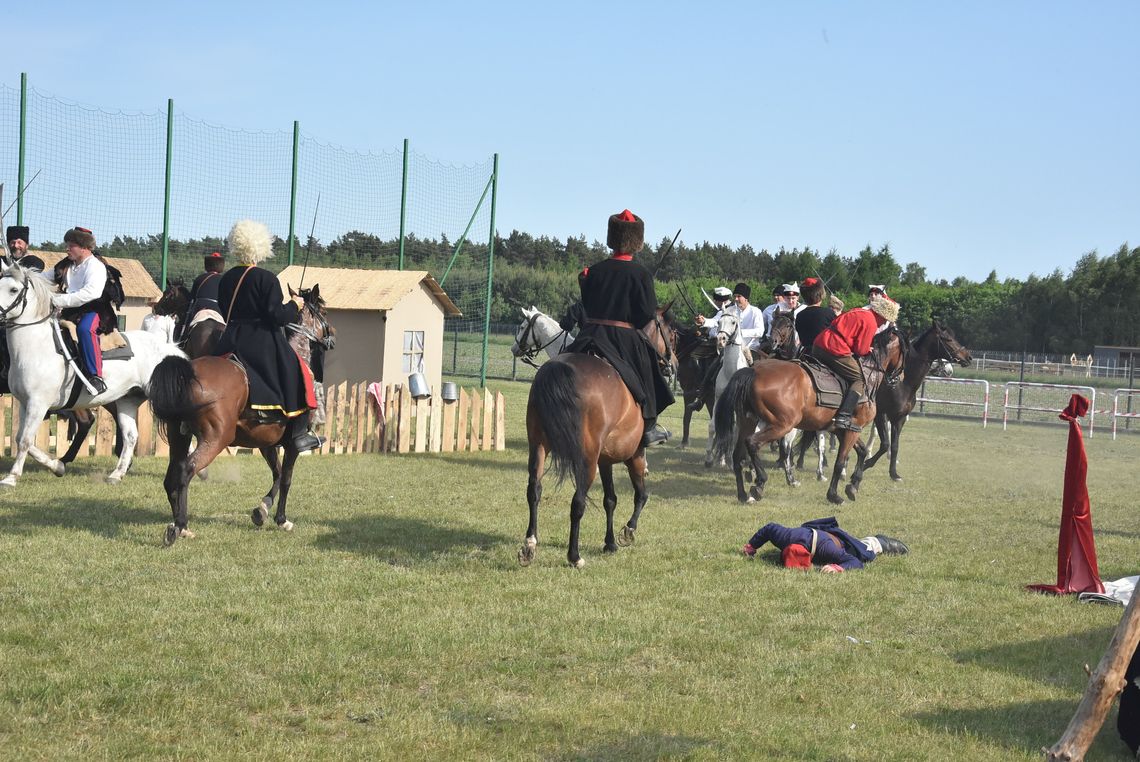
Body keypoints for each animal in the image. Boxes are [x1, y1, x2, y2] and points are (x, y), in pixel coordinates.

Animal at [0, 262, 186, 488]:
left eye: (13, 290)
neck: (37, 347)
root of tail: (170, 349)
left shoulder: (38, 404)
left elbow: (25, 440)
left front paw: (11, 478)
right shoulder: (25, 403)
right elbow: (20, 438)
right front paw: (57, 466)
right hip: (127, 400)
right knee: (131, 436)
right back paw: (116, 474)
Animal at [144, 287, 332, 547]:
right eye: (324, 310)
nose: (332, 336)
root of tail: (187, 375)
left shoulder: (266, 443)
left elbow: (277, 473)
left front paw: (261, 510)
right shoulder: (293, 444)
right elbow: (286, 478)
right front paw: (281, 519)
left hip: (179, 437)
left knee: (171, 476)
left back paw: (182, 526)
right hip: (215, 439)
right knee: (186, 471)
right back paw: (178, 526)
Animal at [522, 305, 679, 568]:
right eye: (673, 335)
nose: (673, 364)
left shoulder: (605, 459)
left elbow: (610, 499)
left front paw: (610, 543)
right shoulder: (634, 456)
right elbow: (641, 495)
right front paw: (627, 532)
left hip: (539, 446)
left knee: (534, 490)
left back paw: (530, 545)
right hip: (587, 459)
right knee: (578, 502)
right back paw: (574, 557)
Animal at [711, 328, 907, 506]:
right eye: (906, 351)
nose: (900, 377)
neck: (868, 377)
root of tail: (754, 371)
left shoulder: (845, 430)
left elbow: (862, 452)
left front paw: (853, 484)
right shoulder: (853, 429)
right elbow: (840, 462)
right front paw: (834, 495)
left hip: (748, 422)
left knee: (738, 456)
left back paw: (743, 495)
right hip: (782, 425)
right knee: (753, 443)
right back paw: (759, 483)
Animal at [861, 323, 971, 481]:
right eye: (948, 339)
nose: (968, 357)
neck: (902, 382)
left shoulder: (899, 418)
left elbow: (894, 444)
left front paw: (893, 472)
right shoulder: (881, 414)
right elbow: (884, 442)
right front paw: (866, 462)